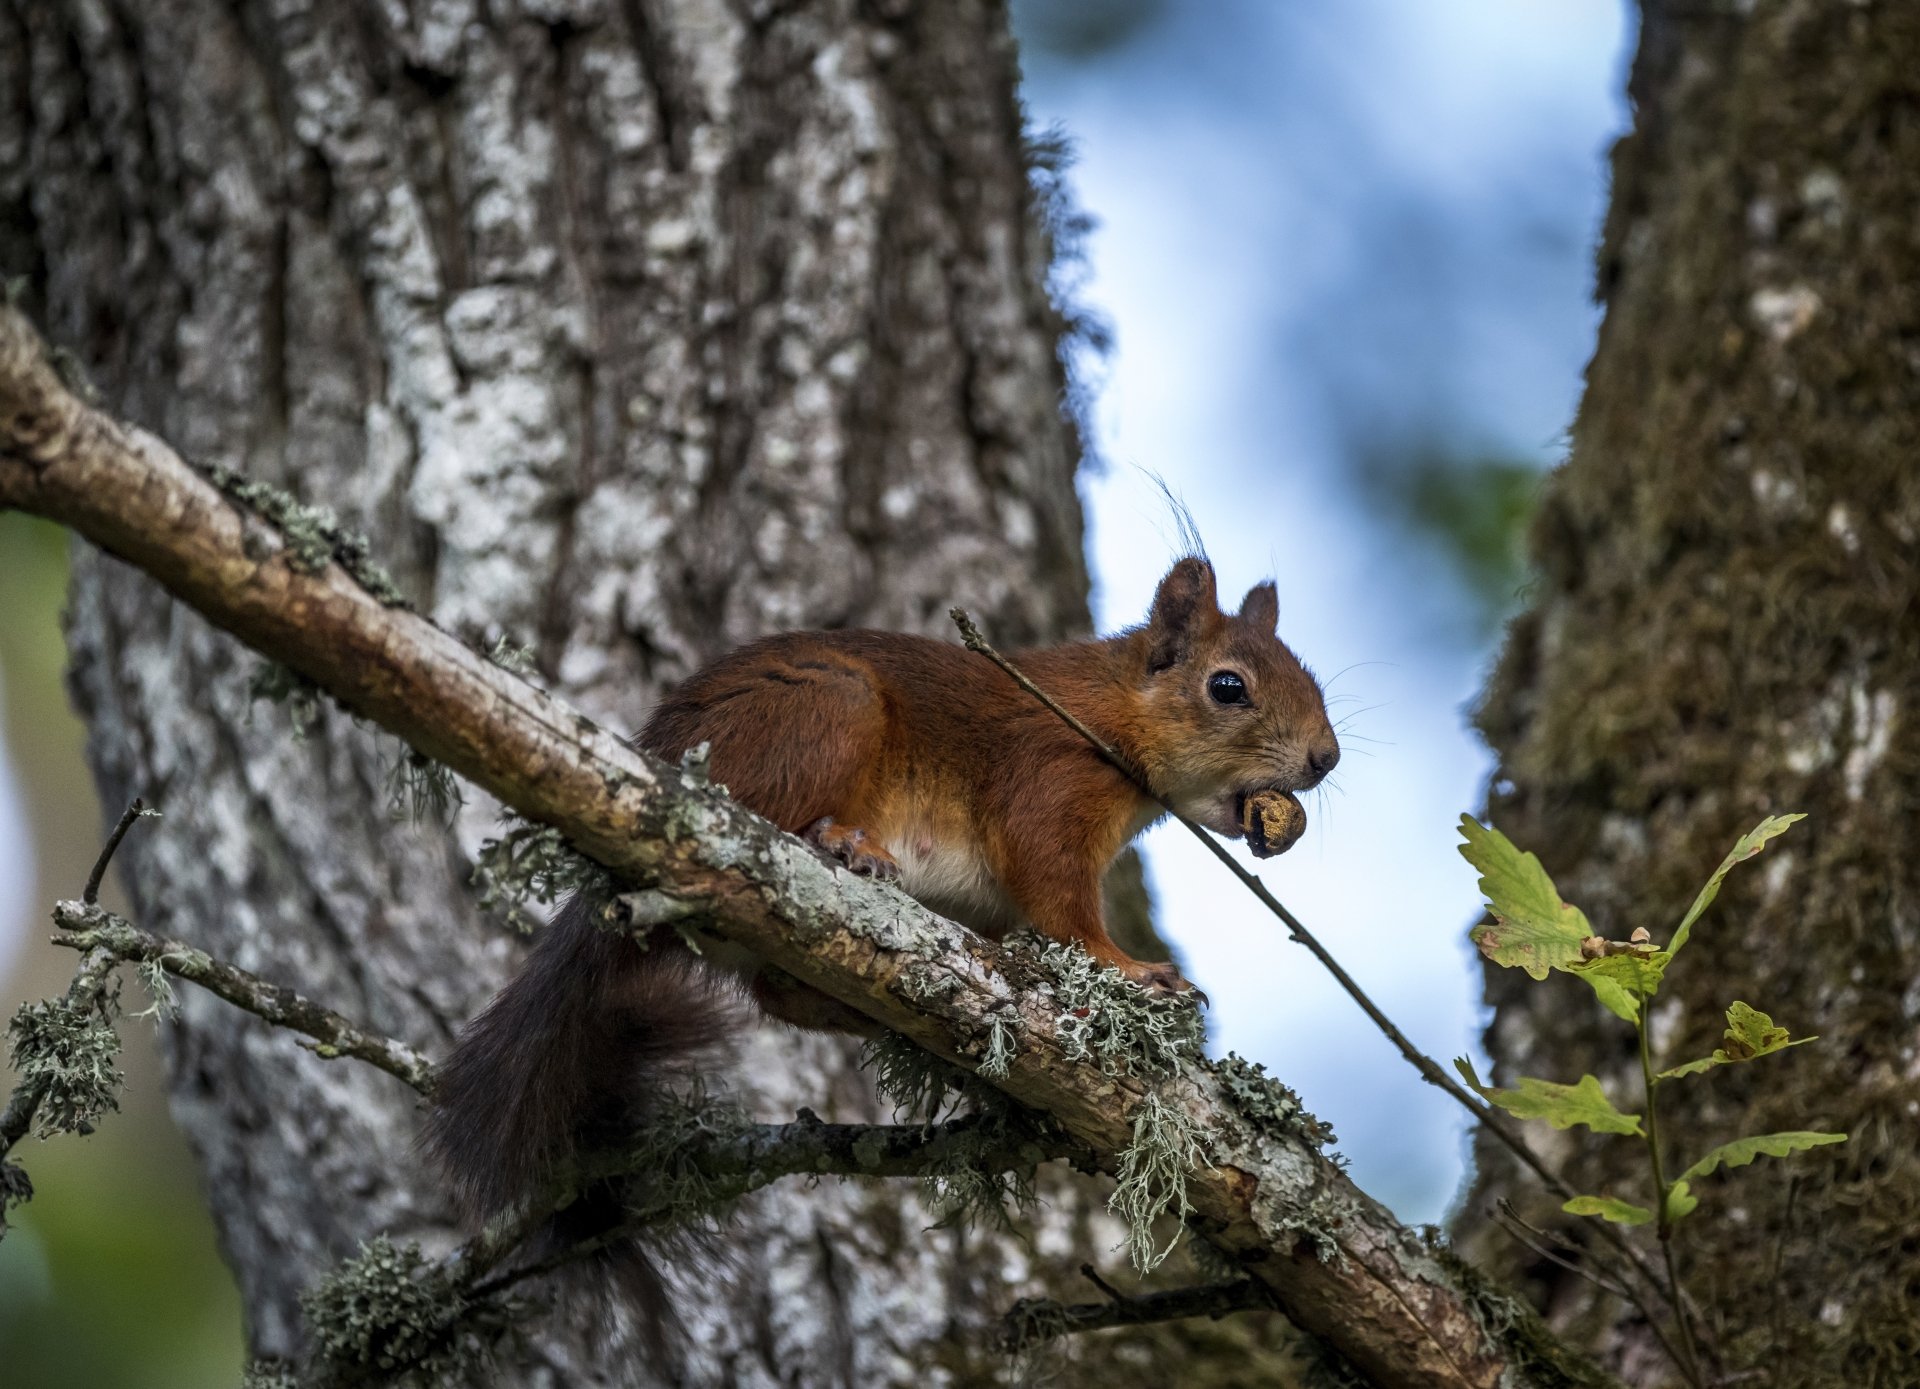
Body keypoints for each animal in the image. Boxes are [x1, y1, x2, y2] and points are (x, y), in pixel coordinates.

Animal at [423, 556, 1338, 1297]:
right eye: (1228, 686)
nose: (1326, 758)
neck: (1107, 707)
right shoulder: (1049, 778)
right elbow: (1057, 898)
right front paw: (1132, 968)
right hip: (826, 709)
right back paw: (839, 841)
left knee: (780, 992)